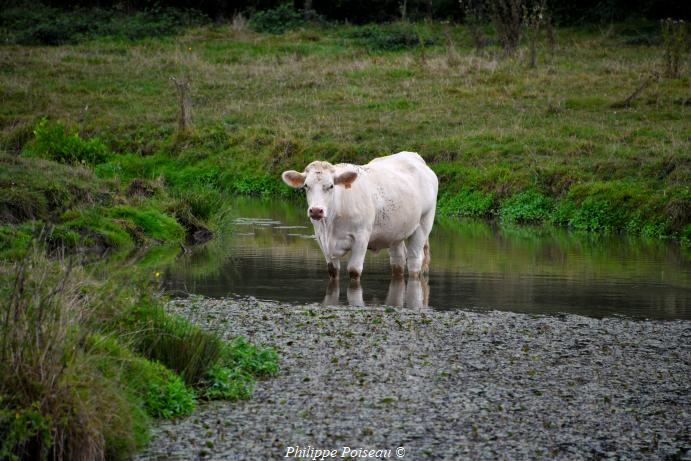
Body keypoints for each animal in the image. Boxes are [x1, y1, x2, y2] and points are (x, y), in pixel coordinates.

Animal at [282, 153, 438, 278]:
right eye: (306, 186)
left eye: (331, 186)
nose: (315, 210)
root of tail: (414, 156)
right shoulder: (321, 239)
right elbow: (333, 271)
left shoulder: (361, 236)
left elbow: (354, 270)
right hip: (395, 232)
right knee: (398, 260)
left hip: (424, 222)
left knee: (414, 260)